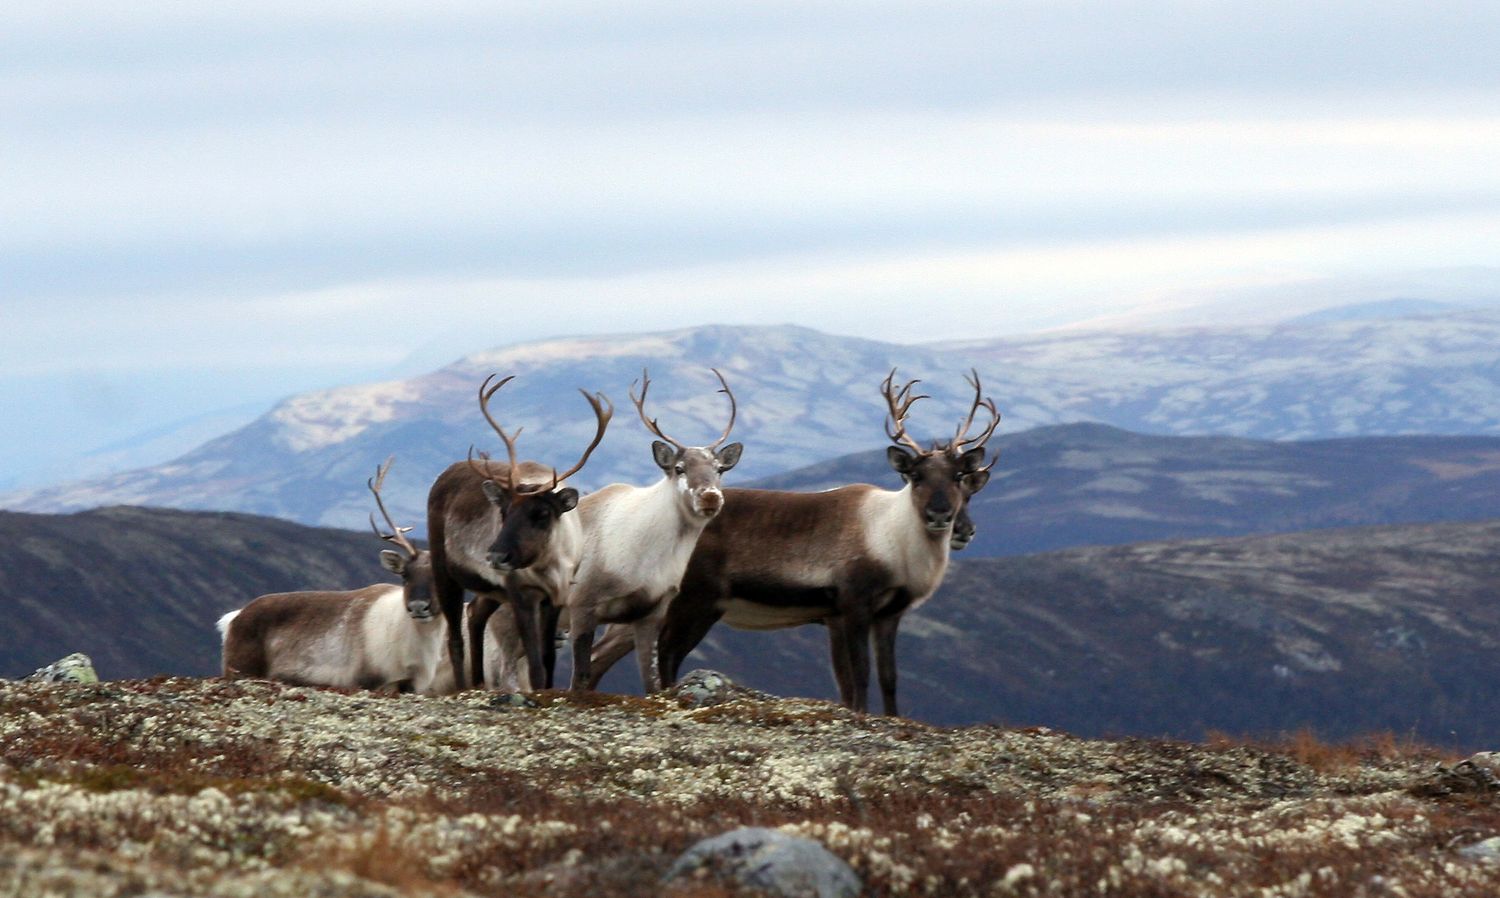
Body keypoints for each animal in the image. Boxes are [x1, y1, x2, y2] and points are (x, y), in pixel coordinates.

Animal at [217, 458, 454, 694]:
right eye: (404, 575)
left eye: (441, 575)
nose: (418, 606)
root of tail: (233, 618)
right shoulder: (365, 680)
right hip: (239, 667)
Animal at [426, 373, 612, 691]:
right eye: (504, 511)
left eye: (542, 514)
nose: (496, 556)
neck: (549, 566)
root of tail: (444, 475)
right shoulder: (520, 594)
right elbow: (535, 662)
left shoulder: (555, 596)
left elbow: (548, 657)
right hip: (444, 570)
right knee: (454, 637)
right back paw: (464, 687)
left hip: (490, 589)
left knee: (475, 613)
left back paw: (478, 682)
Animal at [482, 369, 743, 693]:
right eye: (679, 468)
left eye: (719, 469)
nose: (709, 497)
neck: (650, 555)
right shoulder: (583, 605)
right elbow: (580, 679)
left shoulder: (652, 612)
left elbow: (652, 683)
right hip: (507, 624)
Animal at [600, 369, 999, 716]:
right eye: (916, 476)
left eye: (959, 477)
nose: (941, 515)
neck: (894, 543)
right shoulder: (853, 604)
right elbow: (860, 676)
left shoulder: (886, 614)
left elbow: (887, 678)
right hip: (696, 601)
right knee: (666, 652)